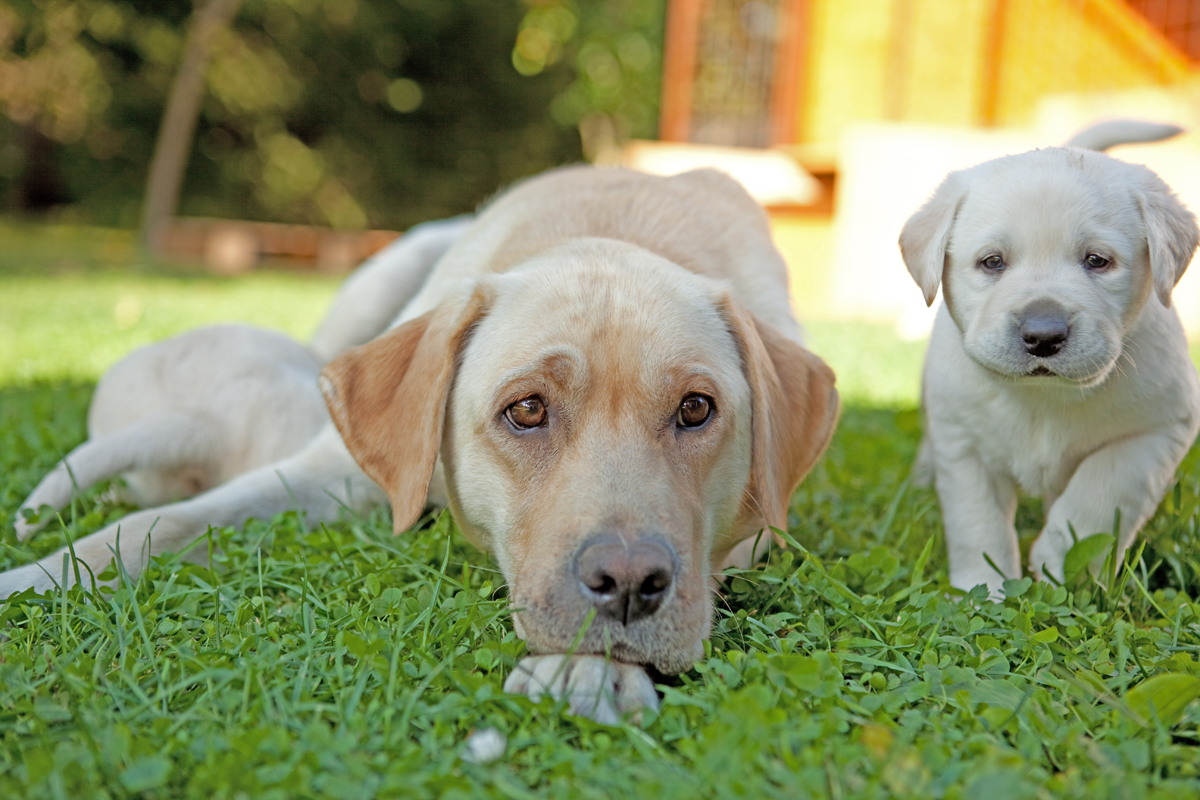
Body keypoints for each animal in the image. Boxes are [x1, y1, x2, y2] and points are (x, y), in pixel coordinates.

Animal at [4, 169, 840, 724]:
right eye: (526, 409)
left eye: (697, 409)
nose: (630, 586)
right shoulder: (330, 476)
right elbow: (153, 527)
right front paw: (36, 576)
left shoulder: (757, 527)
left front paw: (589, 670)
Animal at [902, 120, 1200, 594]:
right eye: (992, 262)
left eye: (1097, 260)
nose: (1043, 336)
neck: (1044, 395)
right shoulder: (964, 447)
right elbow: (978, 524)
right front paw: (984, 590)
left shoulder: (1157, 431)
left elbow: (1100, 493)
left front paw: (1057, 565)